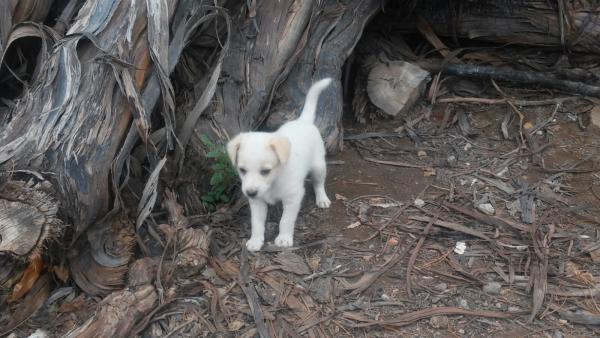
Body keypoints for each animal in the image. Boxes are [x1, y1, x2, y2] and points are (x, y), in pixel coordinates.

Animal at [229, 78, 336, 251]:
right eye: (242, 170)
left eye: (265, 171)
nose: (250, 193)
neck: (274, 181)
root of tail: (303, 121)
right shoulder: (257, 202)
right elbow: (256, 223)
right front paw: (255, 240)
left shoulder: (293, 198)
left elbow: (286, 220)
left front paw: (284, 238)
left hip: (318, 166)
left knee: (319, 183)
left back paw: (322, 199)